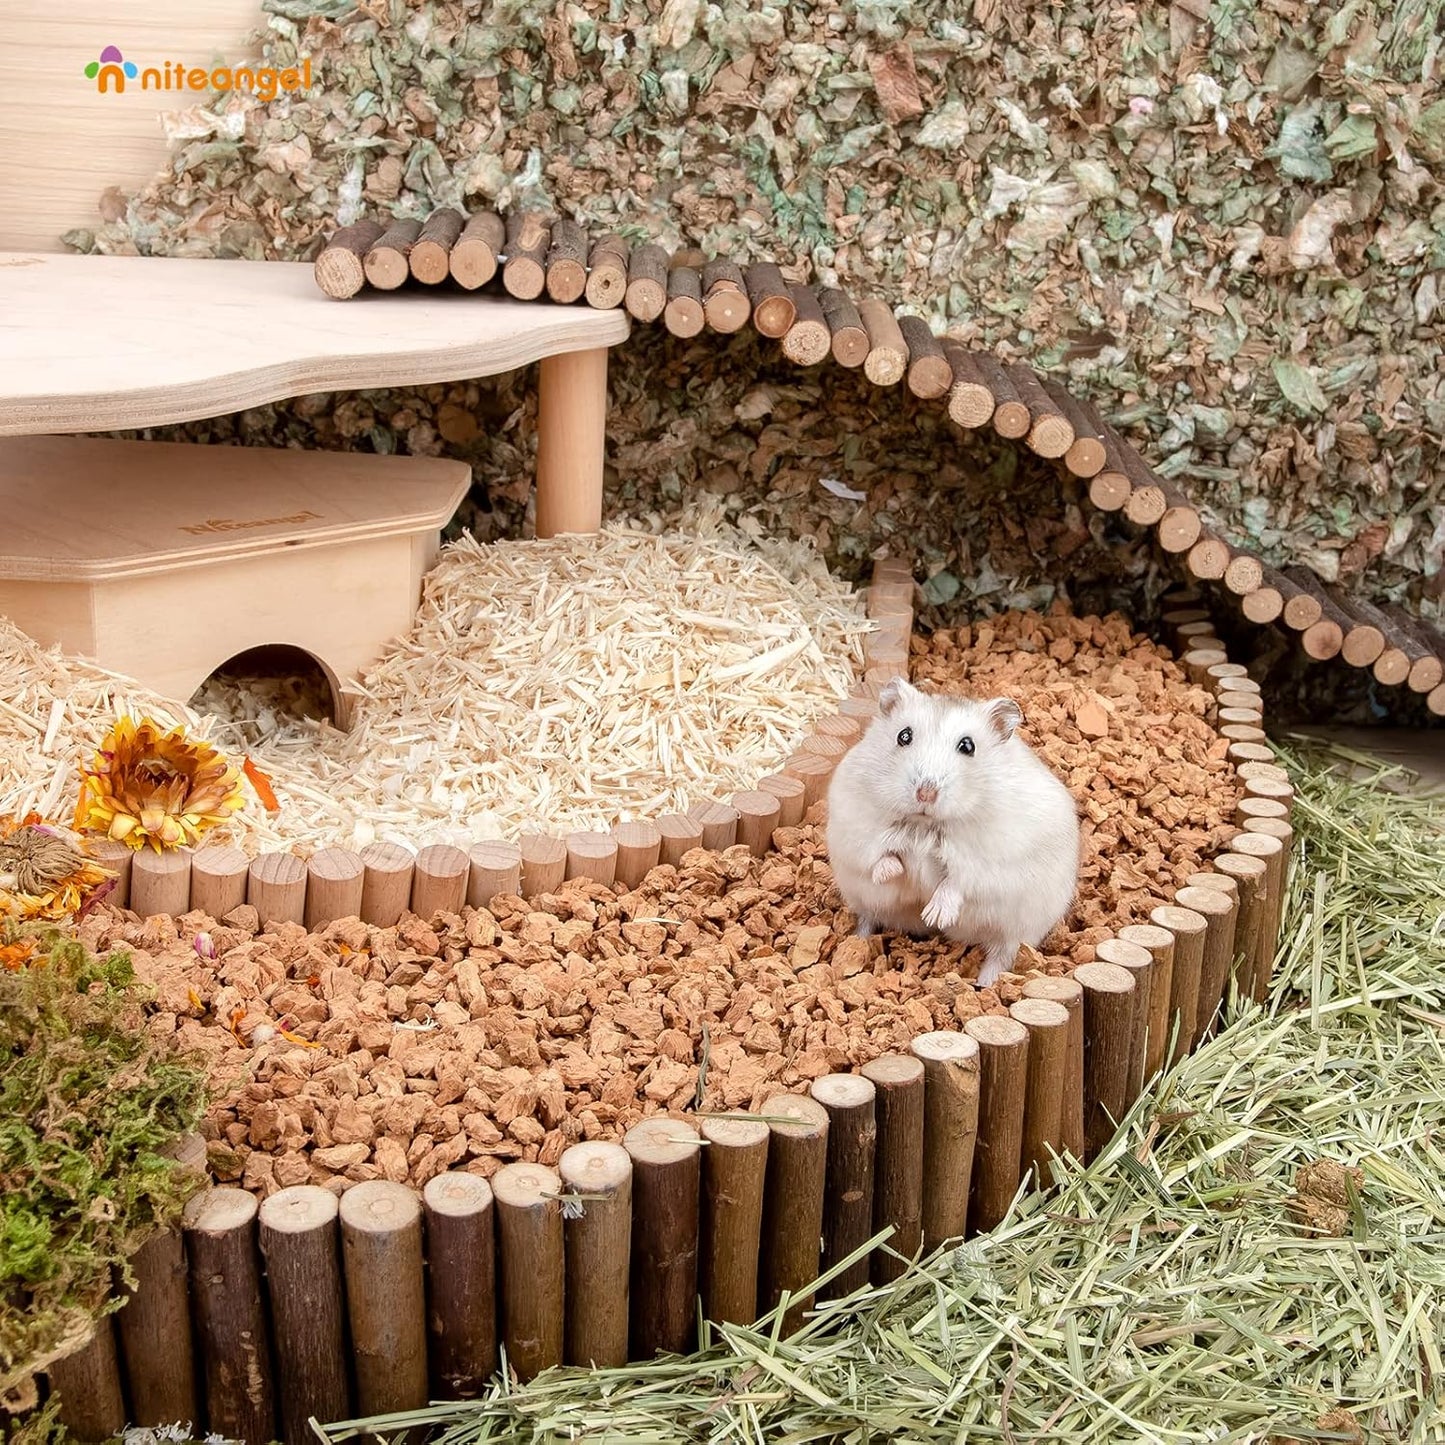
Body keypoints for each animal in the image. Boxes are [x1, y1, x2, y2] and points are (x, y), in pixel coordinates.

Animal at [825, 677, 1081, 988]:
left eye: (968, 746)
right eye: (904, 736)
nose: (925, 792)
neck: (925, 824)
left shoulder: (989, 861)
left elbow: (957, 882)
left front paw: (934, 916)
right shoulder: (855, 828)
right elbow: (878, 856)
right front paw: (893, 873)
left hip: (1021, 928)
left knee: (1001, 957)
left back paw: (984, 984)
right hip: (860, 899)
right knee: (867, 919)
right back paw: (857, 941)